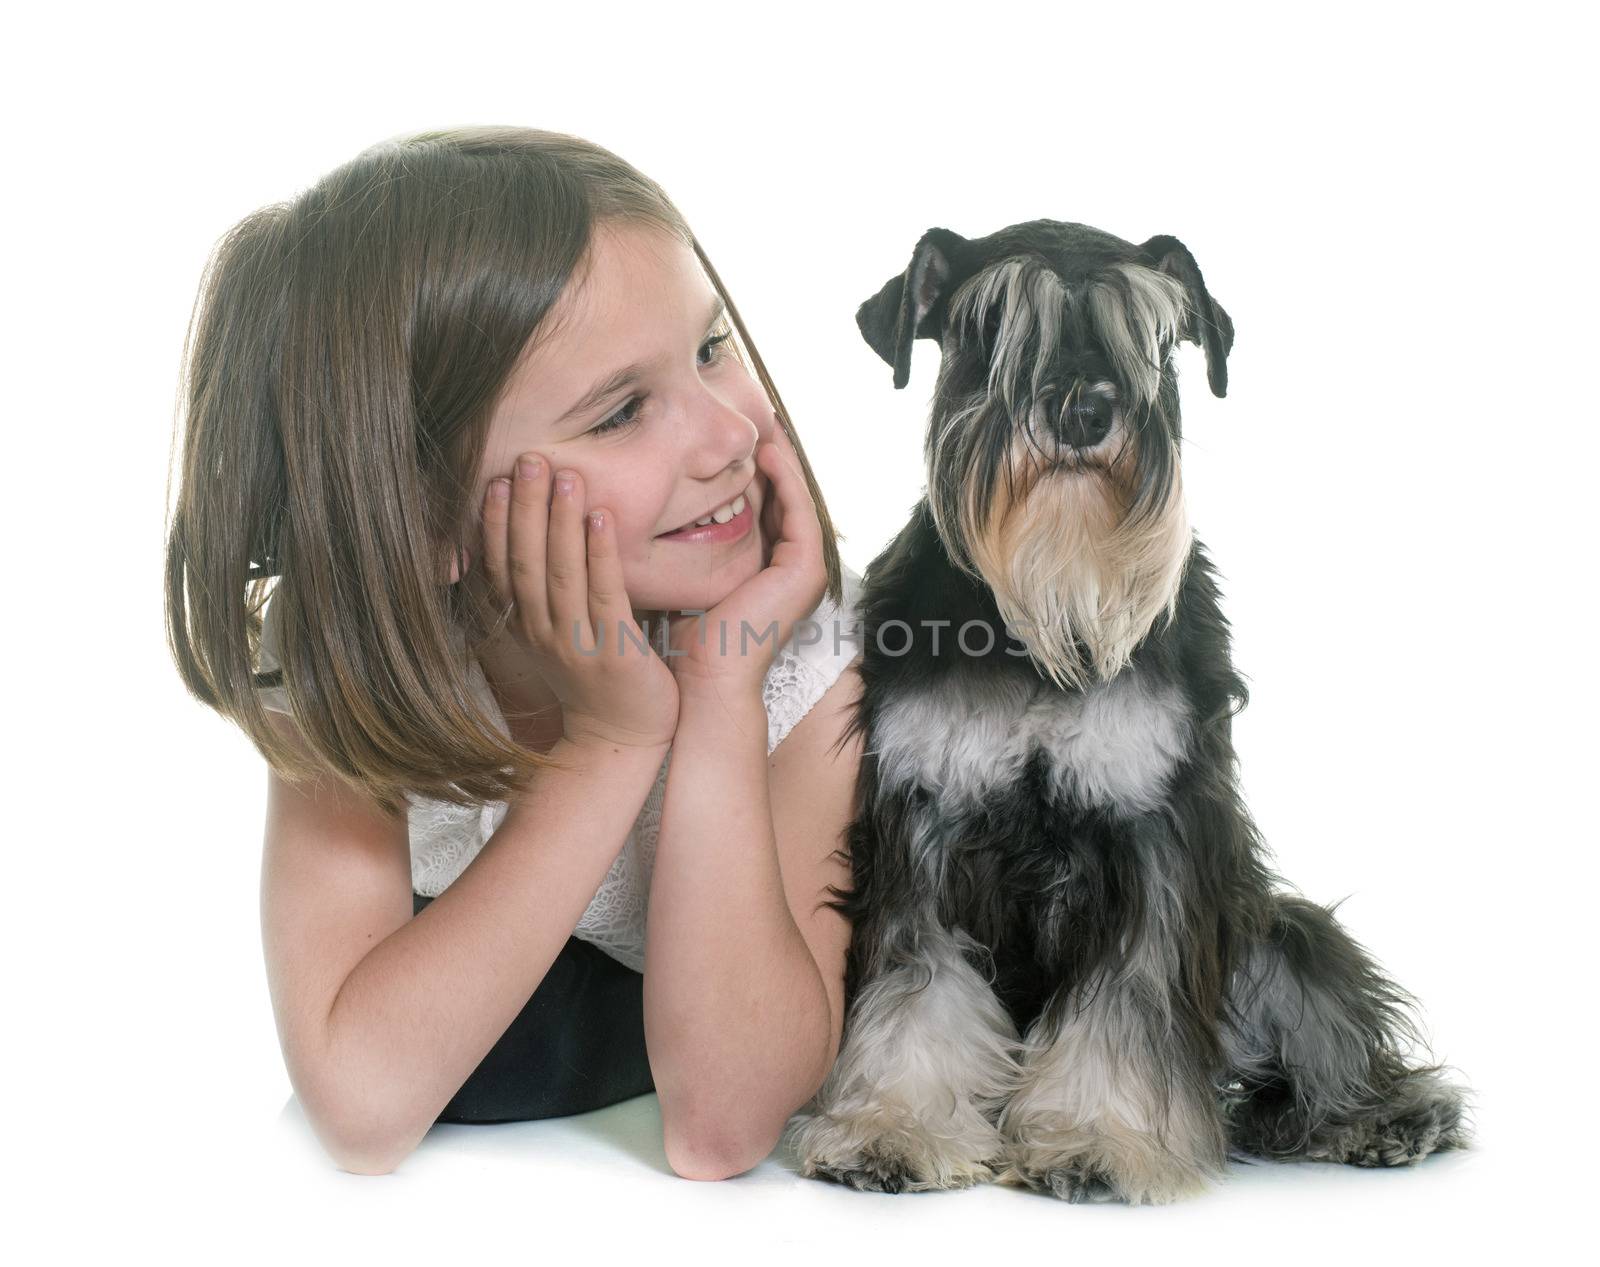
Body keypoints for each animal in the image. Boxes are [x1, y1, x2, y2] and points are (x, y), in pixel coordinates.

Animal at [787, 222, 1472, 1203]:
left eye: (1153, 336)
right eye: (990, 323)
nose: (1083, 410)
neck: (1044, 628)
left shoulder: (1157, 832)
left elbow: (1129, 997)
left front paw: (1098, 1140)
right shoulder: (918, 822)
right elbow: (913, 986)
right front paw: (890, 1127)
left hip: (1275, 932)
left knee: (1327, 1037)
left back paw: (1380, 1116)